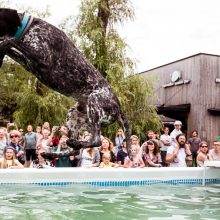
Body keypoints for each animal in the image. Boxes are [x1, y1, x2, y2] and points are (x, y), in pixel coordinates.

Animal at [0, 8, 131, 156]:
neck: (29, 27)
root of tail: (119, 107)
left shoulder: (43, 57)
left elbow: (12, 40)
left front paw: (4, 40)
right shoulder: (29, 64)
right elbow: (12, 49)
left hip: (94, 102)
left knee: (95, 140)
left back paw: (74, 144)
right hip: (74, 115)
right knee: (74, 150)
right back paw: (52, 153)